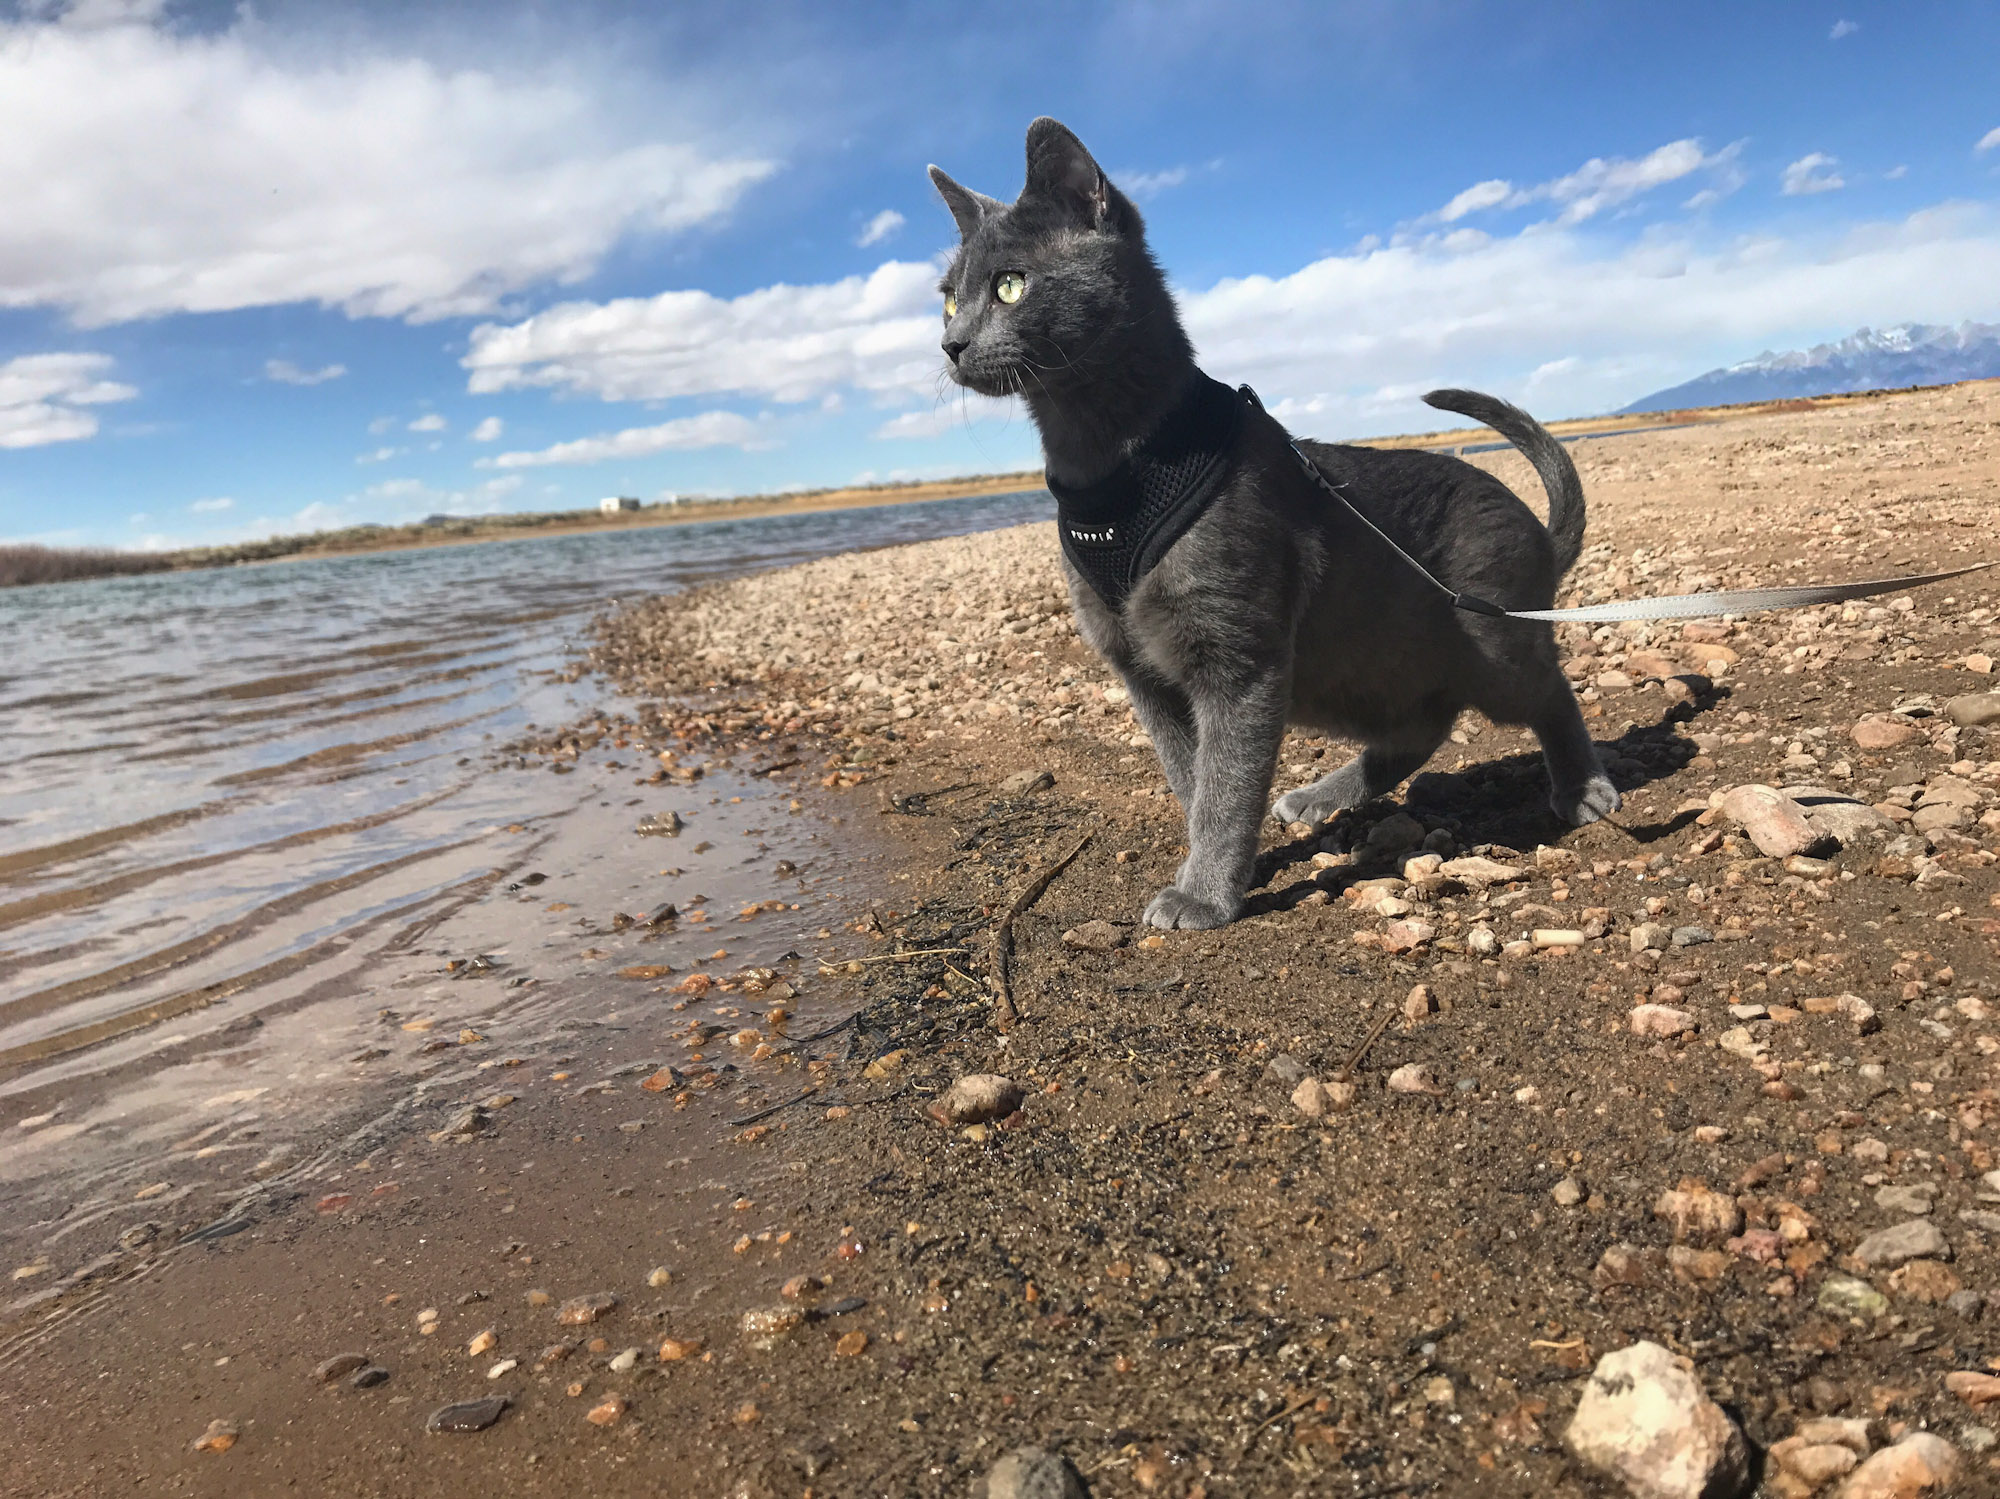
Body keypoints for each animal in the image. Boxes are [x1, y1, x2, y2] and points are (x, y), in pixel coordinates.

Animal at [928, 120, 1616, 927]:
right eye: (948, 299)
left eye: (1011, 284)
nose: (950, 342)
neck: (1108, 469)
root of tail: (1534, 527)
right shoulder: (1139, 668)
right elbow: (1192, 774)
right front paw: (1221, 869)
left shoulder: (1239, 654)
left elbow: (1226, 779)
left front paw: (1203, 893)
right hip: (1360, 666)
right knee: (1418, 728)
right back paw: (1321, 796)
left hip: (1482, 640)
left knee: (1547, 690)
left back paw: (1582, 787)